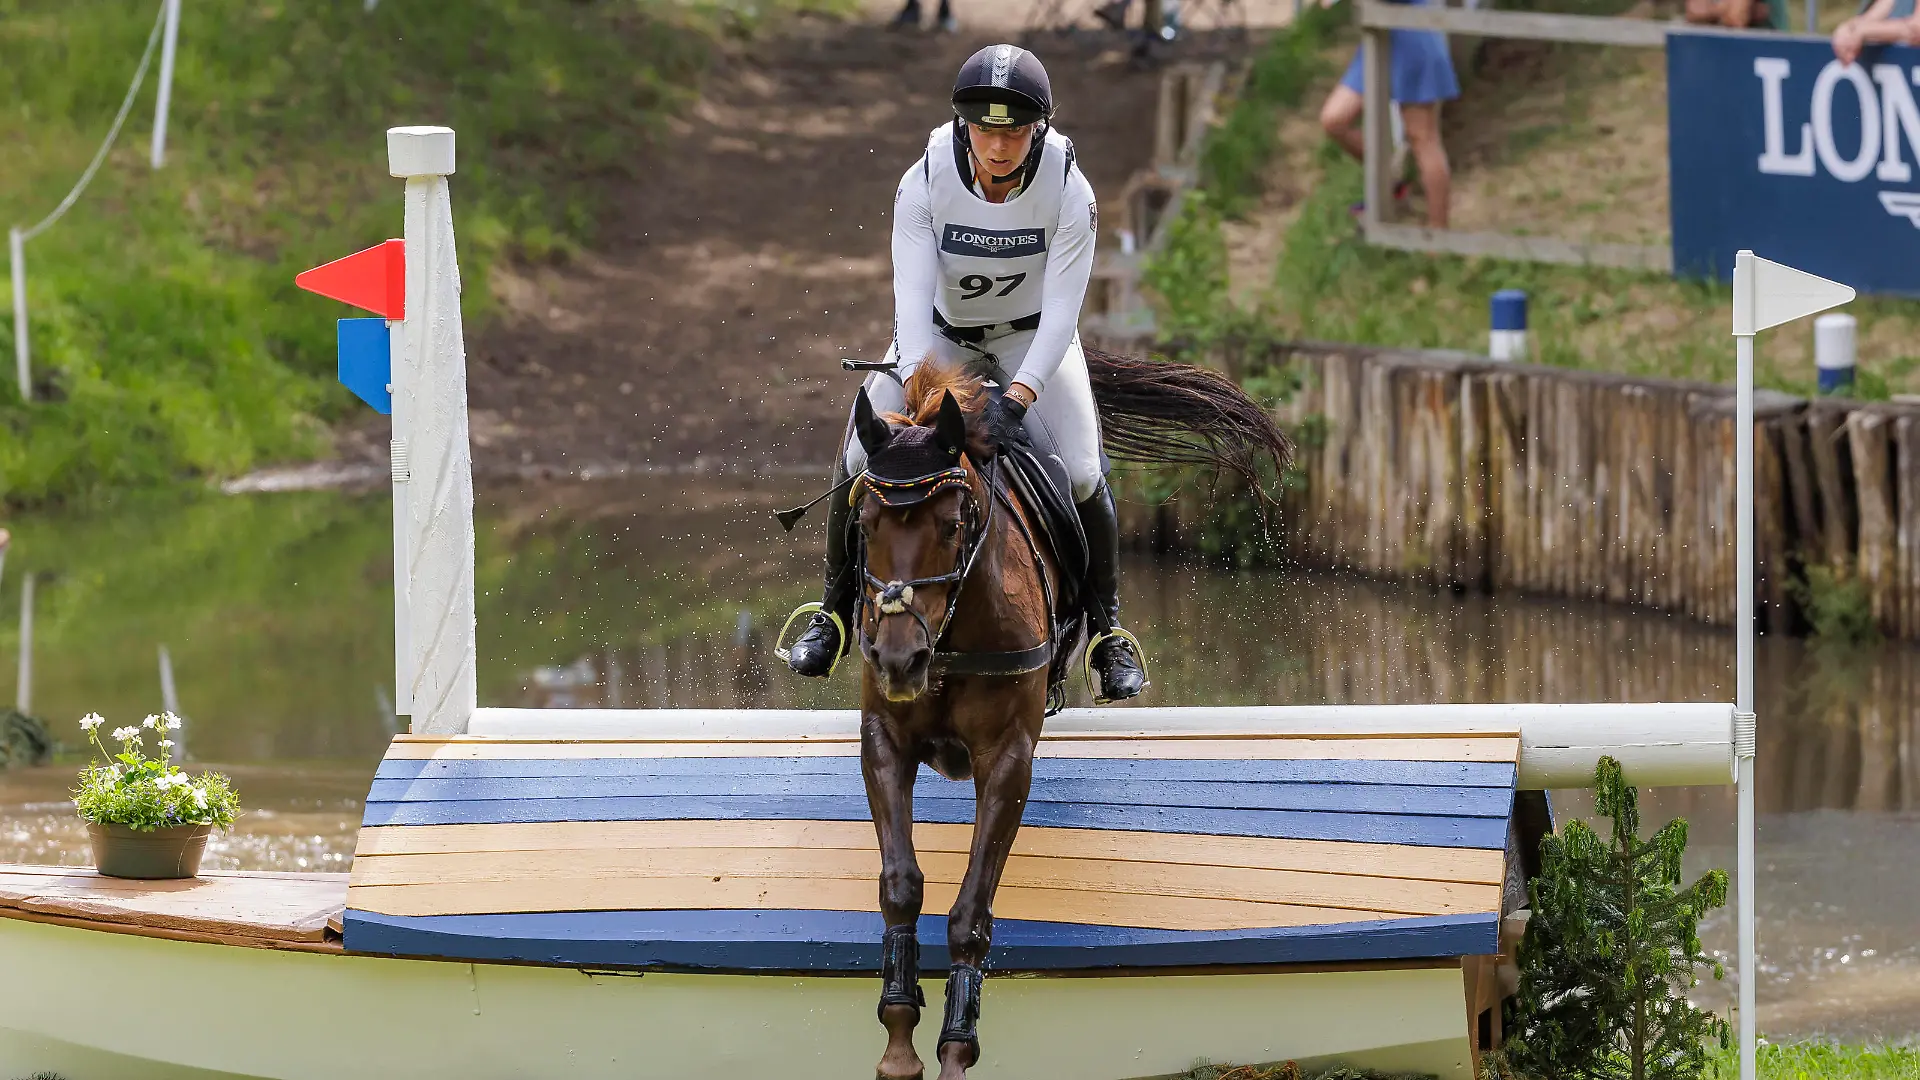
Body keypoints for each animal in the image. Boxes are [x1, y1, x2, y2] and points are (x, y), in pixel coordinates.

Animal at [840, 353, 1293, 1080]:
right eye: (865, 524)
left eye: (953, 524)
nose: (899, 659)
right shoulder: (884, 739)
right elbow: (901, 885)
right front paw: (899, 1041)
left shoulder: (1007, 755)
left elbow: (971, 910)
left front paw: (956, 1050)